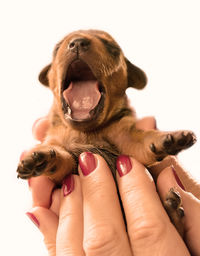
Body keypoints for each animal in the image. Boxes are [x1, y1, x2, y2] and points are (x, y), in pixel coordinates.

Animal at [17, 30, 197, 236]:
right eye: (56, 49)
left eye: (112, 48)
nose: (77, 42)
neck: (87, 132)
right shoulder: (64, 161)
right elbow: (62, 159)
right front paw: (43, 159)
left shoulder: (128, 140)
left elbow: (144, 140)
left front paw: (170, 138)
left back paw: (173, 210)